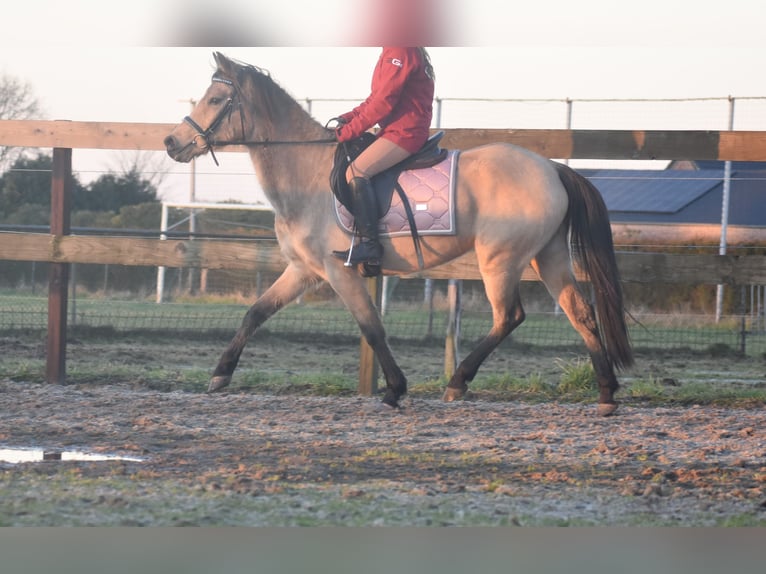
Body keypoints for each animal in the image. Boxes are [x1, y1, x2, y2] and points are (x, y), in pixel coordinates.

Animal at [165, 51, 632, 416]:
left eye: (216, 99)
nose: (172, 142)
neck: (306, 174)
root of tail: (552, 168)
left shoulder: (340, 272)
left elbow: (372, 328)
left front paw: (394, 389)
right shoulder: (303, 271)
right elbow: (255, 313)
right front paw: (220, 375)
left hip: (501, 259)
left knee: (509, 316)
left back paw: (458, 382)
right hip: (547, 256)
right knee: (579, 312)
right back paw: (607, 394)